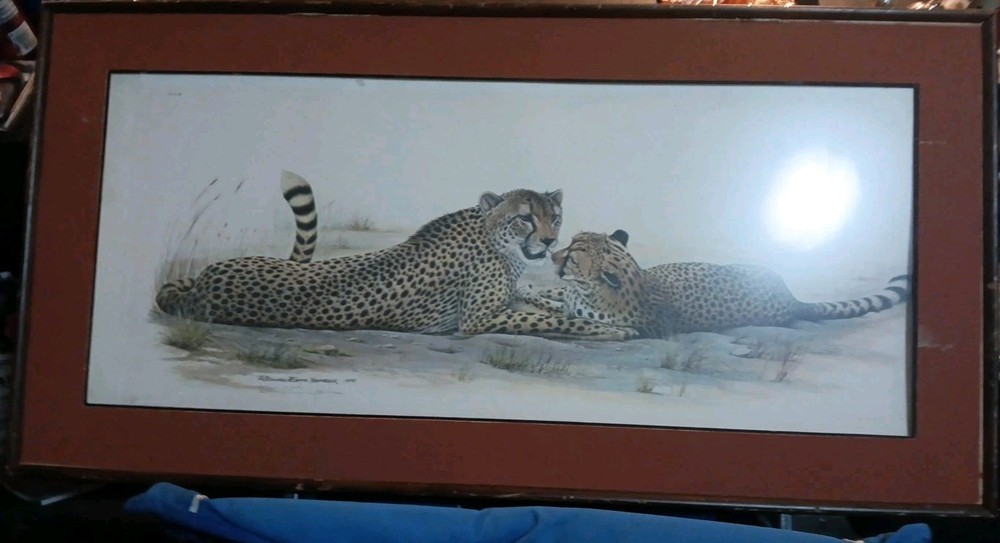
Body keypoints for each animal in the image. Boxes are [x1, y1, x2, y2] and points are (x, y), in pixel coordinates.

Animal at [154, 171, 637, 340]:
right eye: (524, 218)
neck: (493, 239)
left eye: (554, 216)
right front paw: (613, 329)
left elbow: (544, 302)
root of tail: (199, 287)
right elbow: (554, 320)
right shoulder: (476, 320)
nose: (551, 242)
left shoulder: (512, 294)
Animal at [517, 229, 909, 339]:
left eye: (574, 254)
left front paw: (527, 292)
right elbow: (553, 295)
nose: (553, 255)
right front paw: (530, 289)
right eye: (572, 243)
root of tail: (793, 299)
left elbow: (555, 305)